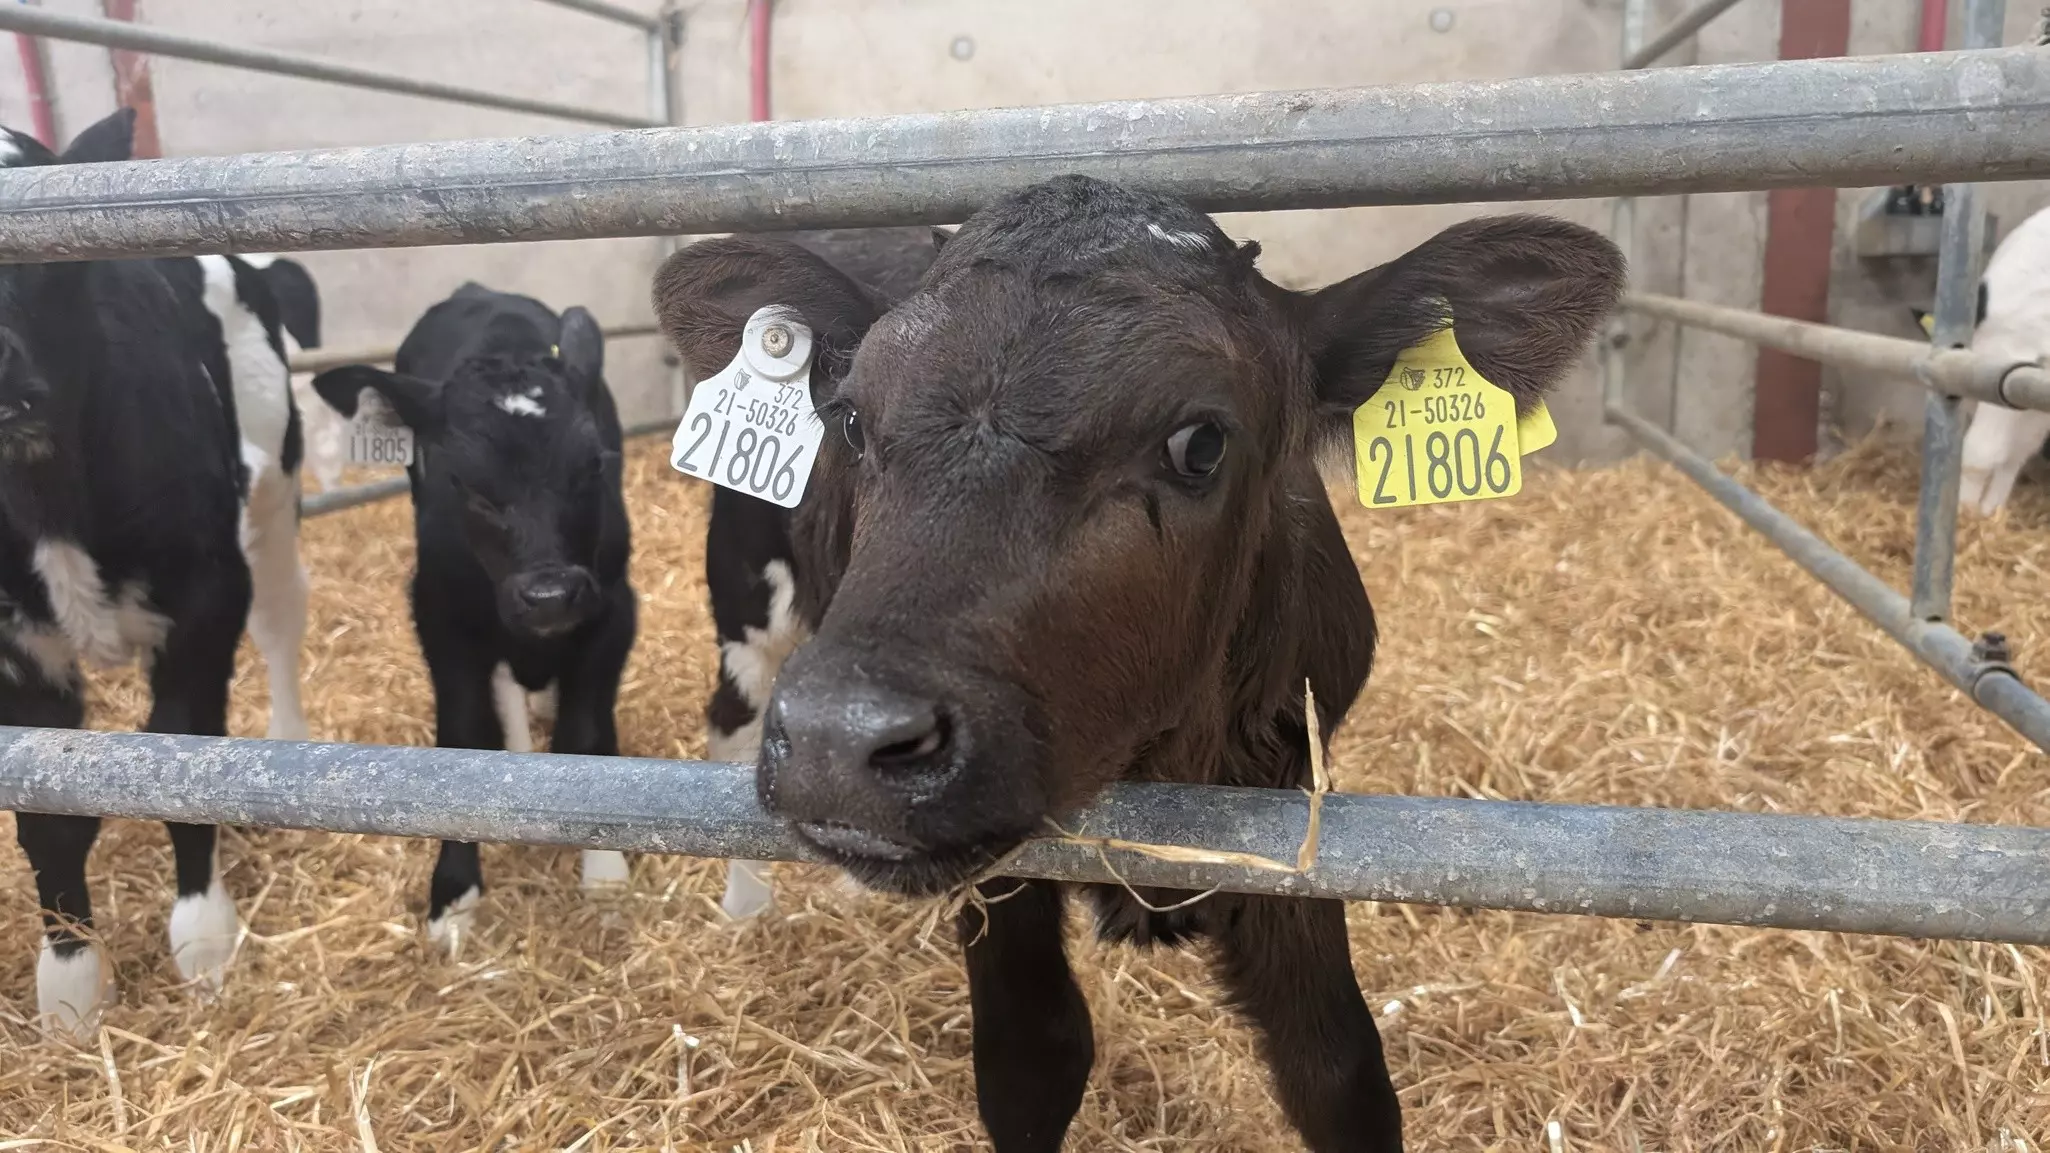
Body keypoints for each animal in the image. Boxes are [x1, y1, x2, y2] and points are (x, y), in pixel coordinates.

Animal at [3, 108, 267, 1036]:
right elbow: (49, 811)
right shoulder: (13, 649)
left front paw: (205, 942)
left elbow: (183, 752)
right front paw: (71, 989)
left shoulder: (210, 596)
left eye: (38, 257)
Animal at [309, 285, 637, 953]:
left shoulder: (614, 607)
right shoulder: (440, 618)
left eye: (593, 465)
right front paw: (454, 891)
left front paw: (604, 869)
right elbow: (460, 736)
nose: (550, 595)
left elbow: (587, 729)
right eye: (464, 481)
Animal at [653, 176, 1624, 1152]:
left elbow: (1339, 1071)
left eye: (1201, 442)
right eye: (851, 419)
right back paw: (743, 908)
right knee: (727, 719)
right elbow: (1033, 1054)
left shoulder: (1292, 814)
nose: (837, 738)